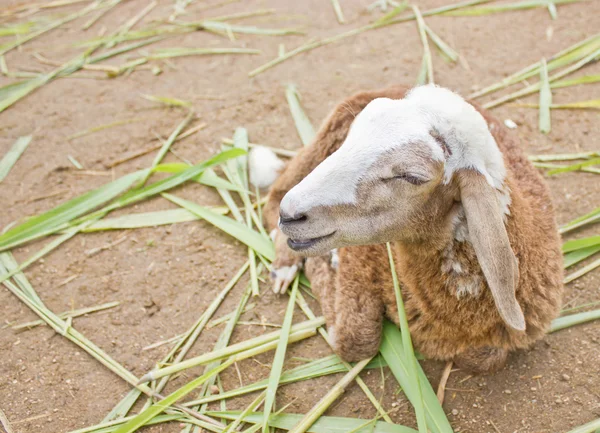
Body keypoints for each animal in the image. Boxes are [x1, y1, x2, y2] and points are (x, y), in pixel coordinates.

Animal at [262, 85, 564, 374]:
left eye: (412, 176)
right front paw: (323, 264)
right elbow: (355, 340)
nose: (291, 214)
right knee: (276, 191)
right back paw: (284, 264)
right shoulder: (362, 256)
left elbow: (487, 358)